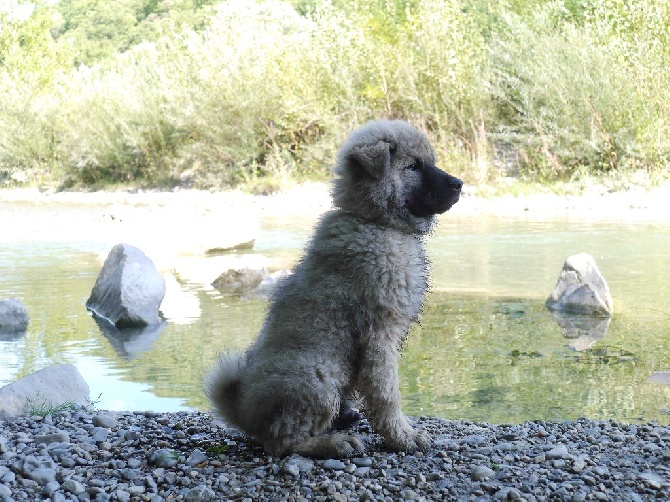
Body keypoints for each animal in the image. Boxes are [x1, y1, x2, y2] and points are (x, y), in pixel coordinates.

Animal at [207, 119, 464, 456]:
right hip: (320, 376)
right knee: (282, 443)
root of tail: (245, 414)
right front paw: (403, 437)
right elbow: (387, 393)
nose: (460, 183)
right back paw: (335, 442)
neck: (374, 222)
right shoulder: (380, 335)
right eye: (413, 167)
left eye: (430, 162)